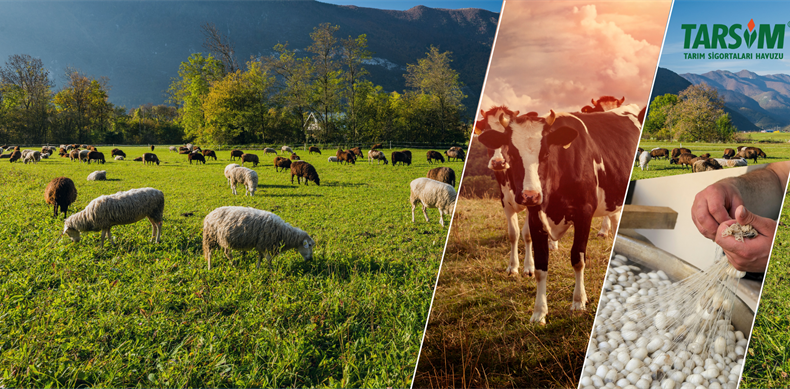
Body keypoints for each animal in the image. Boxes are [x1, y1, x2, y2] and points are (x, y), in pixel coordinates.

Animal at [476, 104, 644, 322]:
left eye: (546, 154)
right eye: (512, 153)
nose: (530, 195)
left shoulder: (584, 214)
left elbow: (578, 259)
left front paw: (579, 301)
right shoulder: (533, 216)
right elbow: (540, 265)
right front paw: (539, 312)